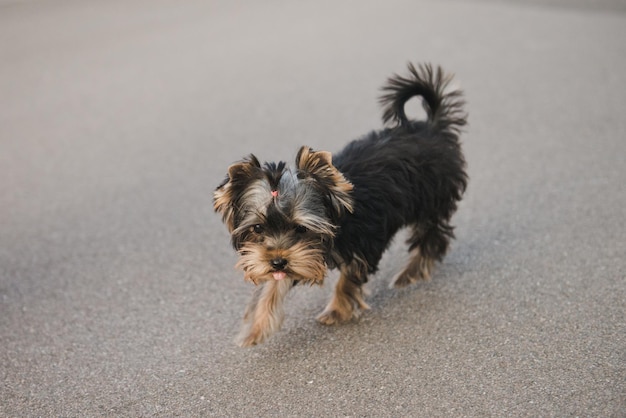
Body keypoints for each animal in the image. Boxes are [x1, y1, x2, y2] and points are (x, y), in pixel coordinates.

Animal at [213, 63, 464, 348]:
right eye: (257, 228)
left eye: (301, 228)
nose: (276, 261)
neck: (337, 217)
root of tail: (432, 128)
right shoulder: (299, 257)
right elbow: (273, 284)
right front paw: (257, 327)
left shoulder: (363, 242)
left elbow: (349, 277)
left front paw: (336, 310)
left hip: (432, 194)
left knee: (431, 234)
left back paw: (410, 274)